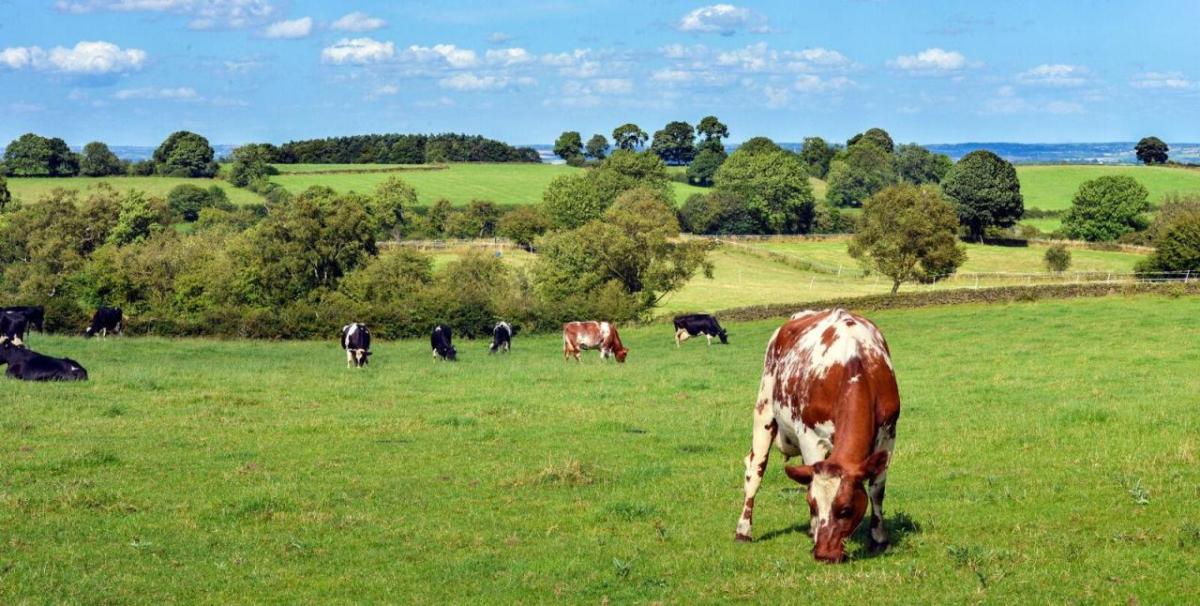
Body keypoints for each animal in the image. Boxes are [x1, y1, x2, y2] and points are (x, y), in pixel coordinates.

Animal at [729, 307, 902, 561]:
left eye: (846, 509)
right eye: (812, 505)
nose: (824, 554)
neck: (855, 363)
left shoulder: (888, 434)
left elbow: (877, 489)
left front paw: (879, 539)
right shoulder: (811, 438)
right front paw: (814, 530)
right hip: (764, 411)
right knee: (755, 470)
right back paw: (743, 530)